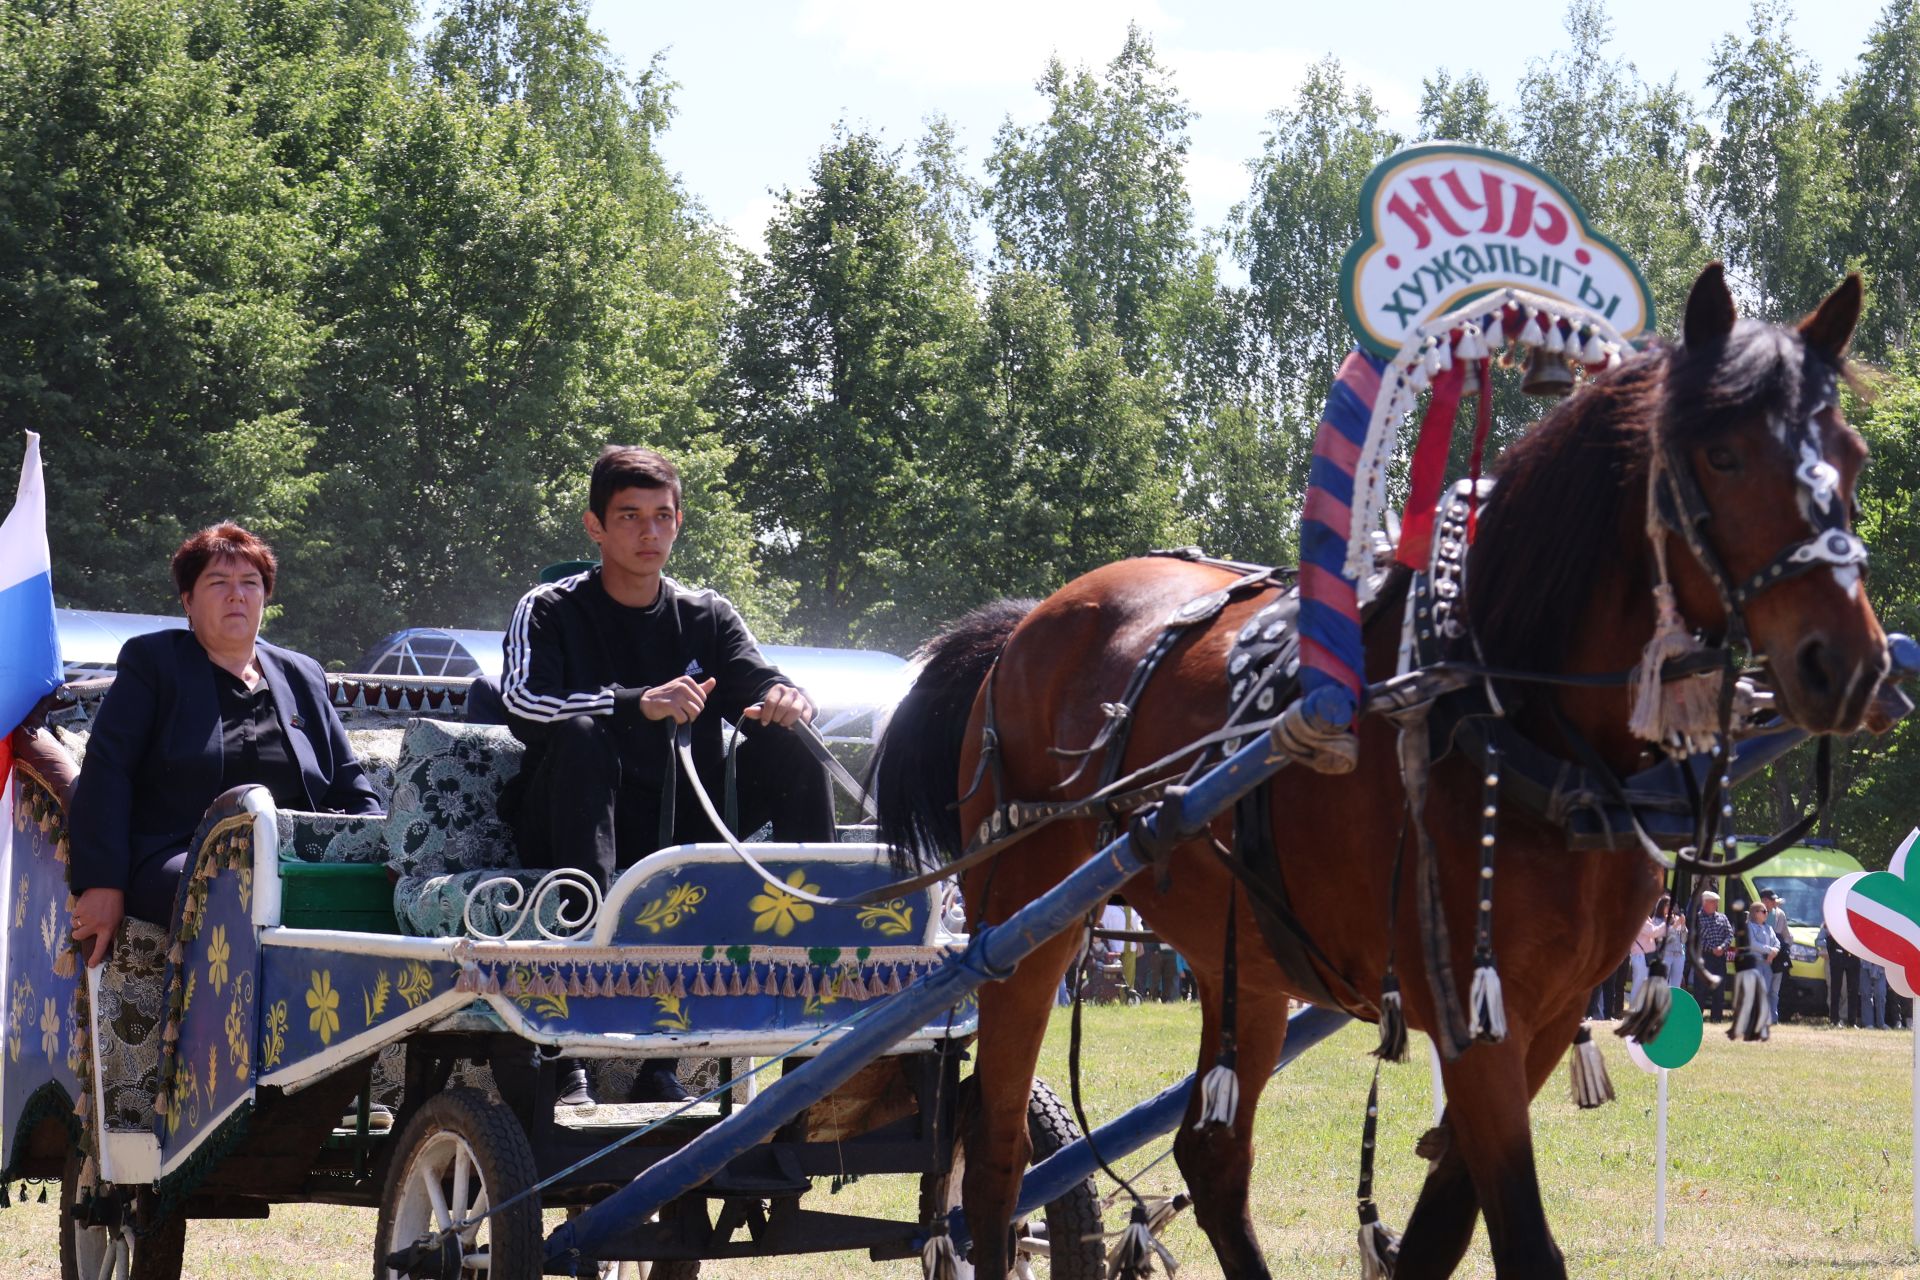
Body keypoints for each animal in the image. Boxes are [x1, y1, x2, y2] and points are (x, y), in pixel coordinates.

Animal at [871, 262, 1889, 1280]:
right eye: (1722, 455)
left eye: (1853, 456)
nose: (1848, 665)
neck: (1522, 717)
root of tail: (1028, 624)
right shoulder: (1474, 1013)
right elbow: (1520, 1238)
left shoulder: (1550, 1013)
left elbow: (1443, 1228)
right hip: (1021, 926)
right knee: (997, 1154)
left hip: (1246, 963)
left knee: (1209, 1154)